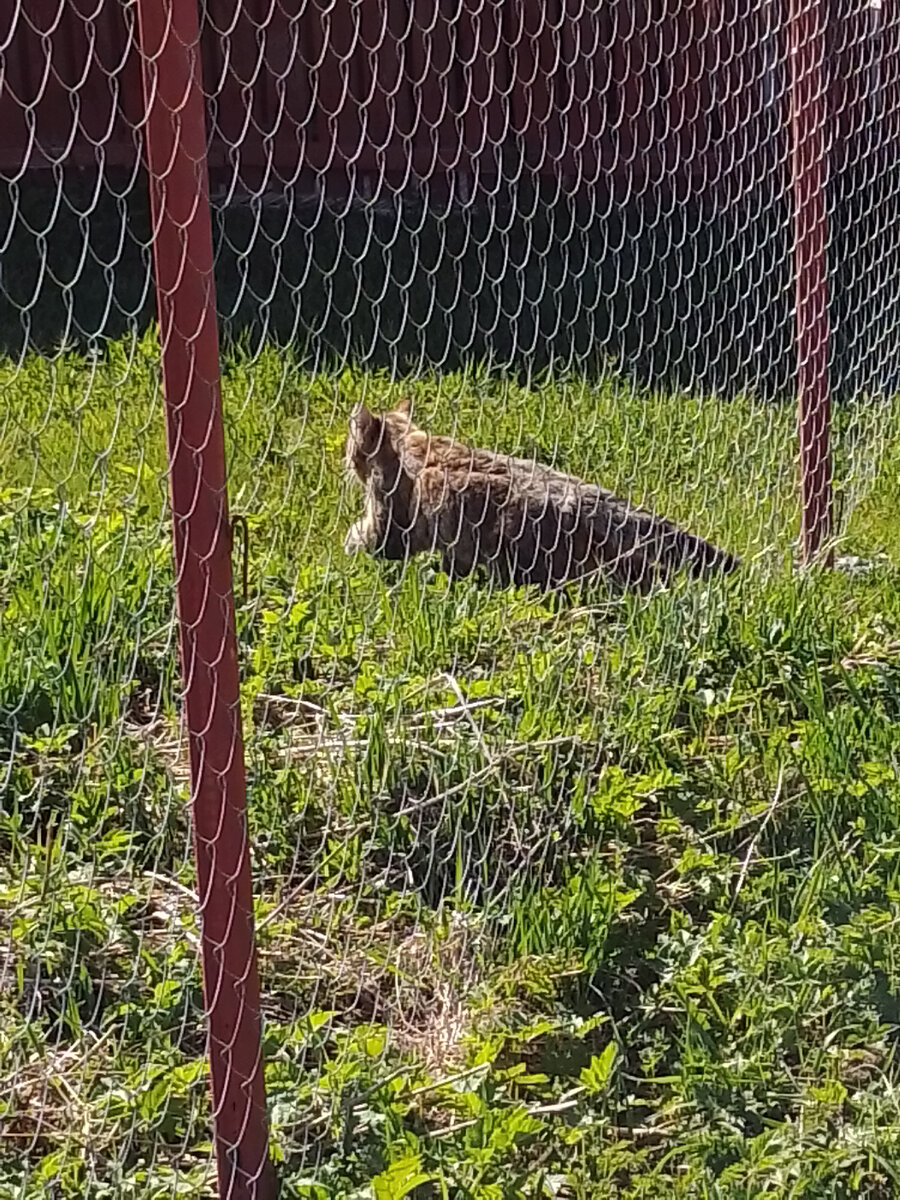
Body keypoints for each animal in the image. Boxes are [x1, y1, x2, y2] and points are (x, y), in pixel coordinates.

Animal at [340, 400, 744, 592]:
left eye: (350, 444)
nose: (345, 457)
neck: (411, 443)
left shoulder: (388, 529)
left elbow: (360, 537)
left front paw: (347, 544)